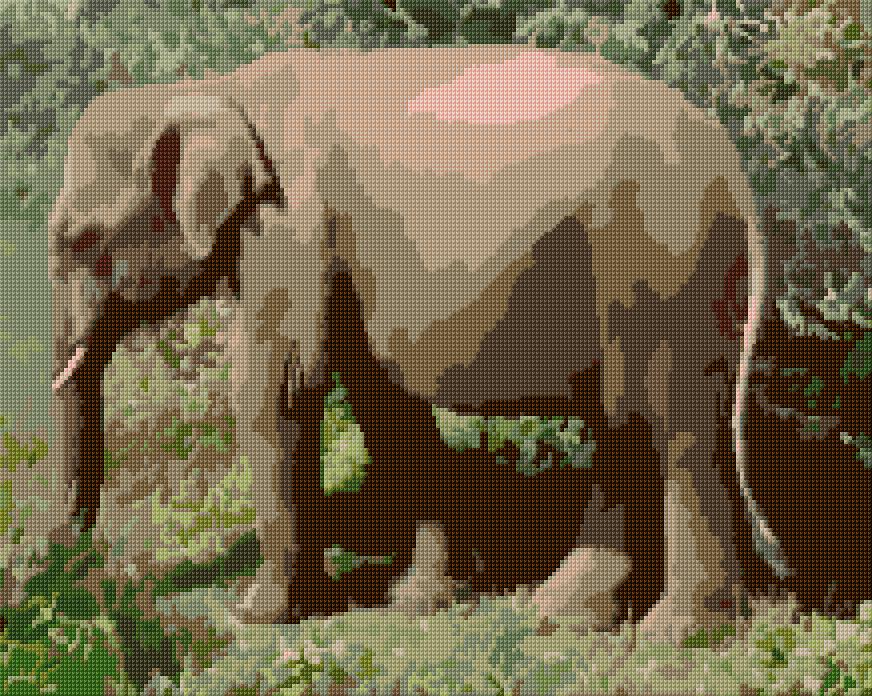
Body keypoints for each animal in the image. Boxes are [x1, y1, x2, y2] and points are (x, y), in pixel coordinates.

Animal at [48, 45, 793, 643]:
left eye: (78, 240)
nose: (70, 568)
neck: (213, 88)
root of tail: (738, 172)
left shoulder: (288, 229)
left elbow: (280, 386)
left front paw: (256, 616)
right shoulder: (344, 259)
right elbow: (381, 398)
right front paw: (419, 604)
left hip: (666, 270)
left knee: (674, 429)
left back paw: (675, 637)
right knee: (627, 427)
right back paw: (561, 616)